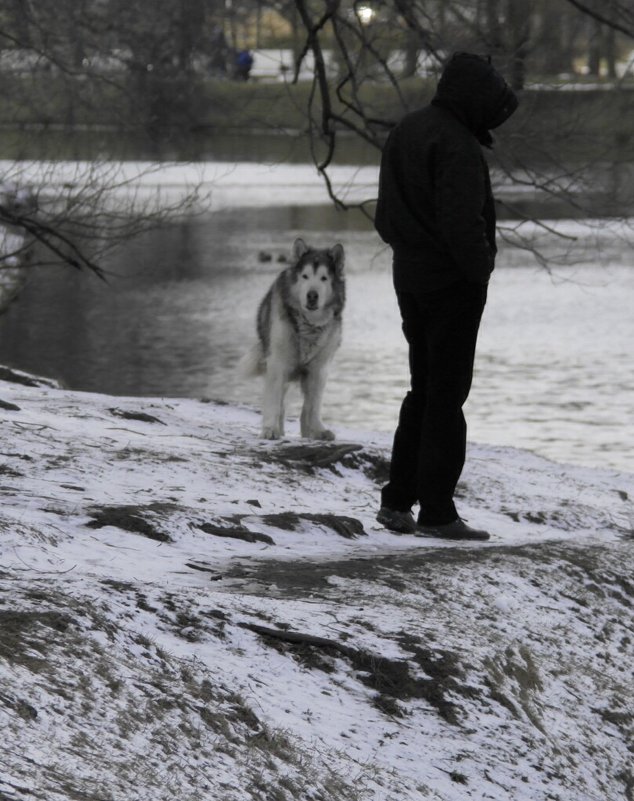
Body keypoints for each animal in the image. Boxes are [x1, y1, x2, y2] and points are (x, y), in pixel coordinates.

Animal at [239, 238, 344, 440]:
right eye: (305, 276)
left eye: (324, 278)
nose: (312, 295)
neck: (308, 326)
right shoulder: (277, 364)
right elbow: (274, 403)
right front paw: (270, 429)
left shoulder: (319, 369)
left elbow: (313, 406)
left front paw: (317, 430)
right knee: (280, 404)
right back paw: (278, 429)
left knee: (305, 410)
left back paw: (308, 432)